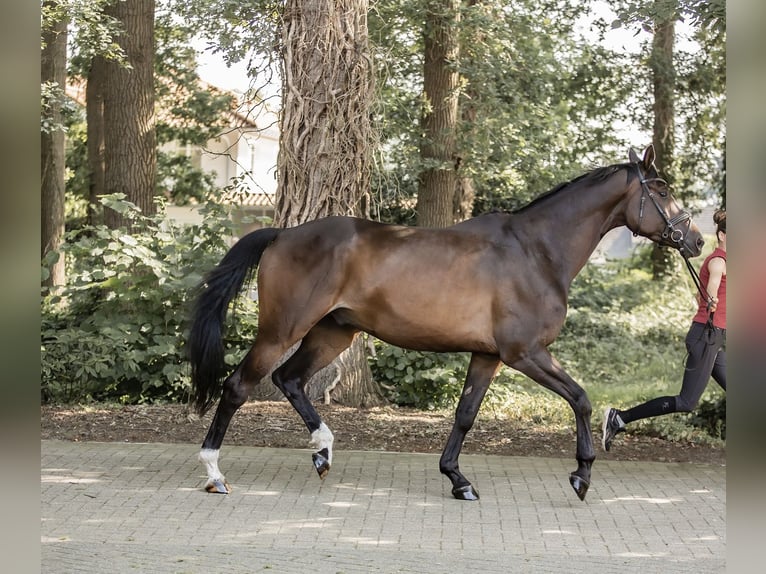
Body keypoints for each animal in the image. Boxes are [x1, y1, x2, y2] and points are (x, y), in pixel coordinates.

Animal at [189, 145, 704, 504]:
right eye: (660, 189)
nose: (696, 240)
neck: (536, 251)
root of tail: (282, 234)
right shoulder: (525, 353)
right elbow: (580, 398)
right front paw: (581, 475)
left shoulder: (488, 355)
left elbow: (465, 414)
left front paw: (458, 480)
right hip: (283, 330)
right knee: (238, 386)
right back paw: (215, 474)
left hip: (333, 331)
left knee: (290, 380)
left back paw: (323, 451)